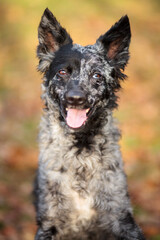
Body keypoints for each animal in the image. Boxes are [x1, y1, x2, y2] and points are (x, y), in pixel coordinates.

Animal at [34, 7, 146, 240]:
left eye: (96, 75)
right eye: (63, 72)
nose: (76, 99)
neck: (81, 154)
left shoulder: (124, 221)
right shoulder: (49, 222)